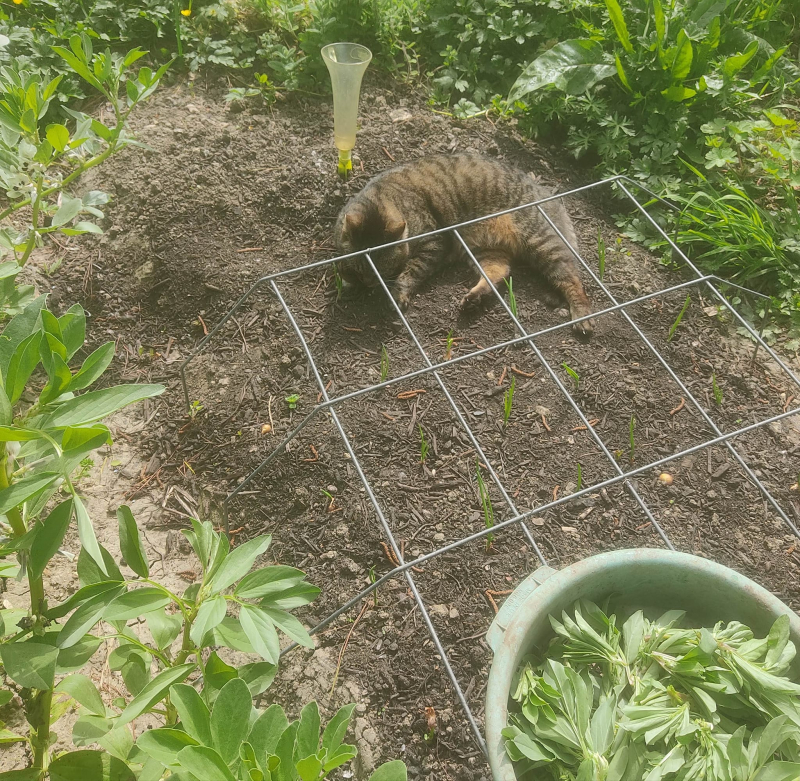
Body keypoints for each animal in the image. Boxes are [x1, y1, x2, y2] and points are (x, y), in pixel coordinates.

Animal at [332, 152, 592, 336]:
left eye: (382, 268)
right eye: (360, 267)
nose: (368, 282)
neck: (385, 198)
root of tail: (546, 191)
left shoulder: (433, 243)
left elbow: (411, 271)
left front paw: (397, 292)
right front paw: (349, 280)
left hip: (542, 244)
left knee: (573, 281)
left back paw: (583, 317)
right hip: (485, 250)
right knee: (500, 272)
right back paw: (474, 298)